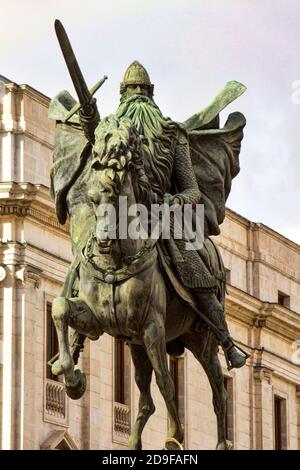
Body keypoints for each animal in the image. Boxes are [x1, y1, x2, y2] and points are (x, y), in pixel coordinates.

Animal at [51, 114, 231, 452]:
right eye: (92, 198)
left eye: (118, 197)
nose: (103, 243)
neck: (117, 261)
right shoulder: (99, 322)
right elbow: (60, 307)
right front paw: (72, 379)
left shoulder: (153, 328)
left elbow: (167, 382)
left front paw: (175, 436)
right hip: (136, 345)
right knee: (146, 399)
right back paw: (134, 441)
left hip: (202, 341)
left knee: (219, 389)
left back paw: (222, 442)